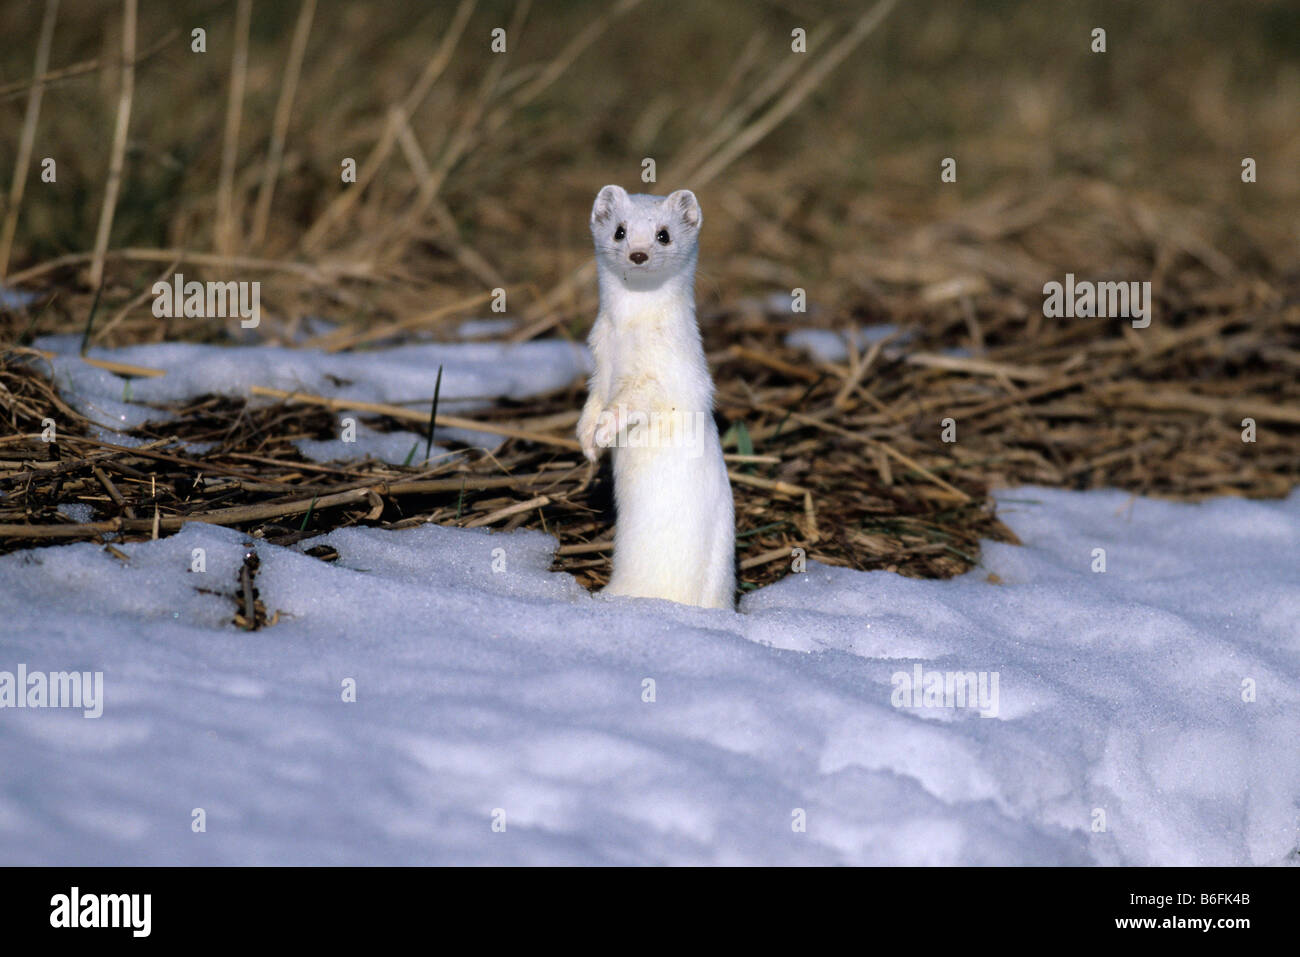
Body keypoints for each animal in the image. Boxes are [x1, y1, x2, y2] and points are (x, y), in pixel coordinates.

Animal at [577, 183, 733, 608]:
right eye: (620, 230)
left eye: (663, 234)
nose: (638, 253)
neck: (625, 336)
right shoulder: (599, 364)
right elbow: (593, 401)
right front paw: (587, 440)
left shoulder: (665, 376)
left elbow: (634, 402)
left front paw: (605, 430)